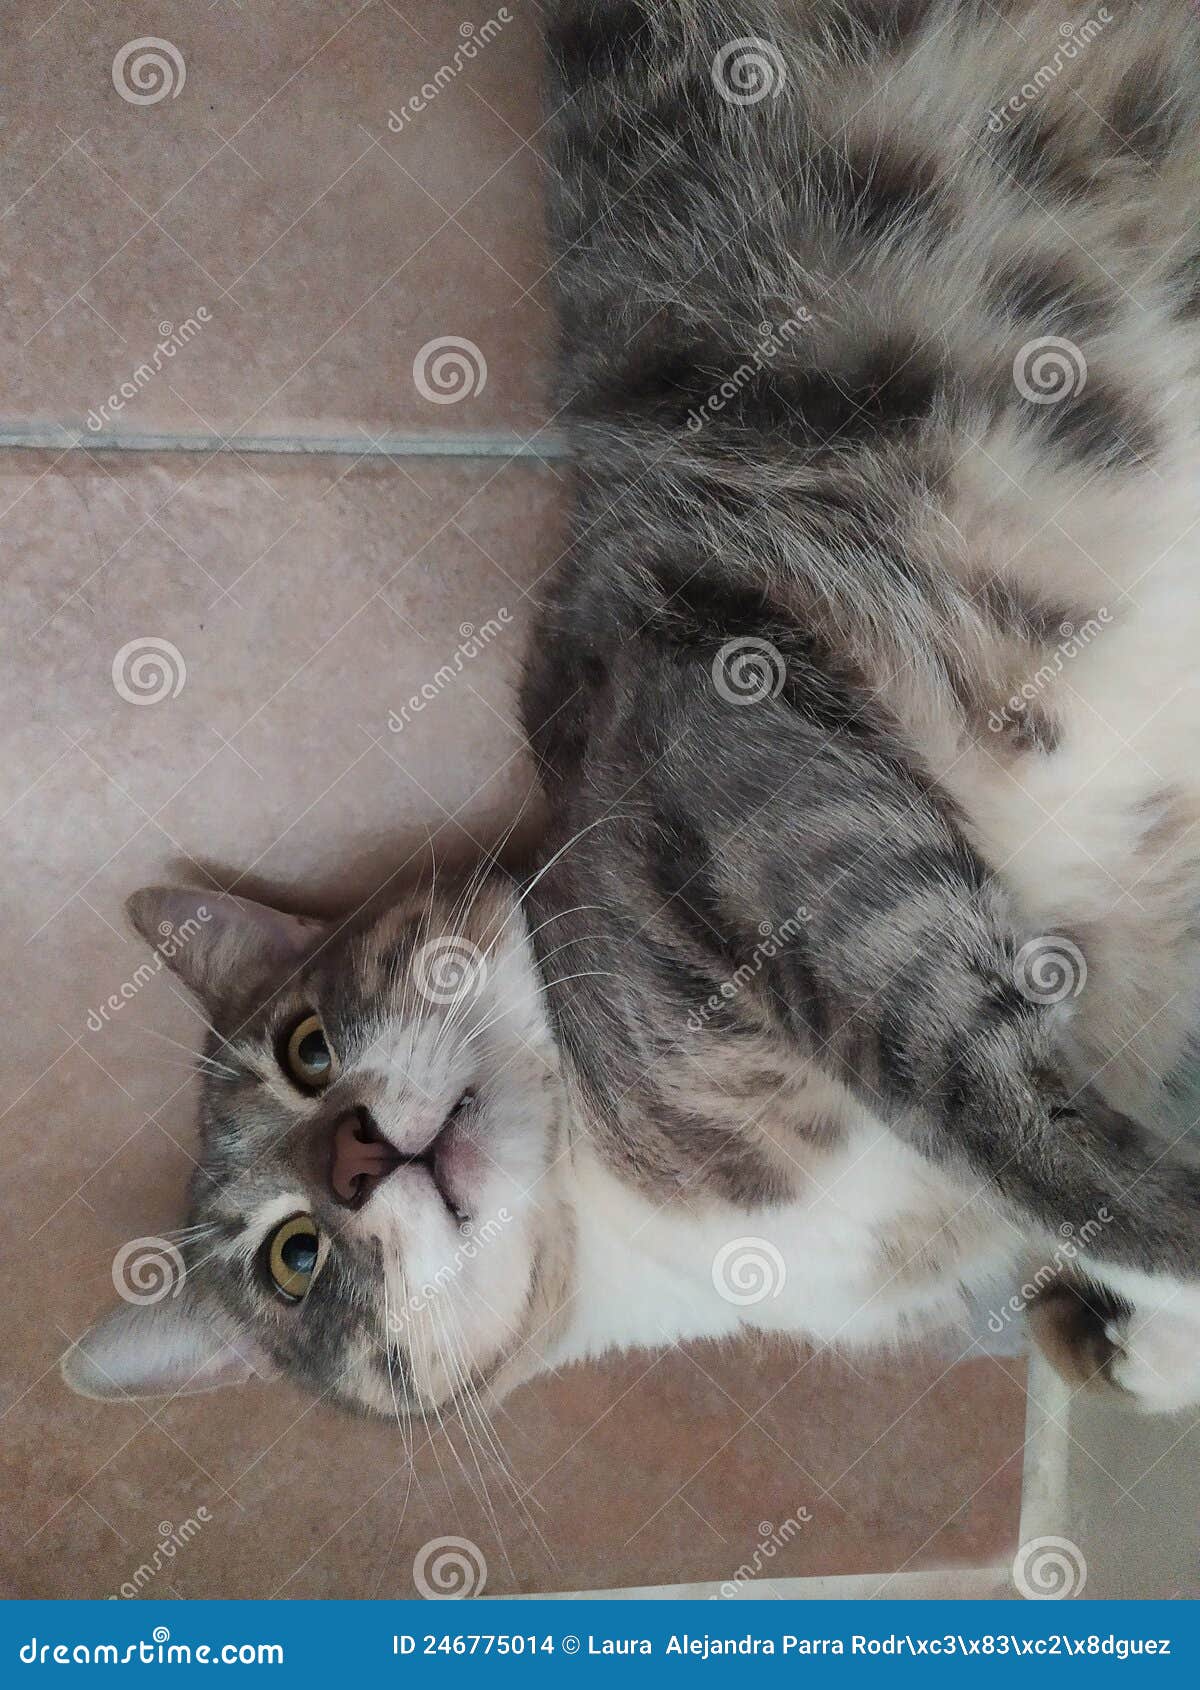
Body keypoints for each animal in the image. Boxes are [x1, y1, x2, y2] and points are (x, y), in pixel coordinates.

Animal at [63, 0, 1200, 1419]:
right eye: (296, 1258)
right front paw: (1139, 1339)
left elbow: (1003, 1116)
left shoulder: (732, 749)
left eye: (308, 1046)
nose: (355, 1161)